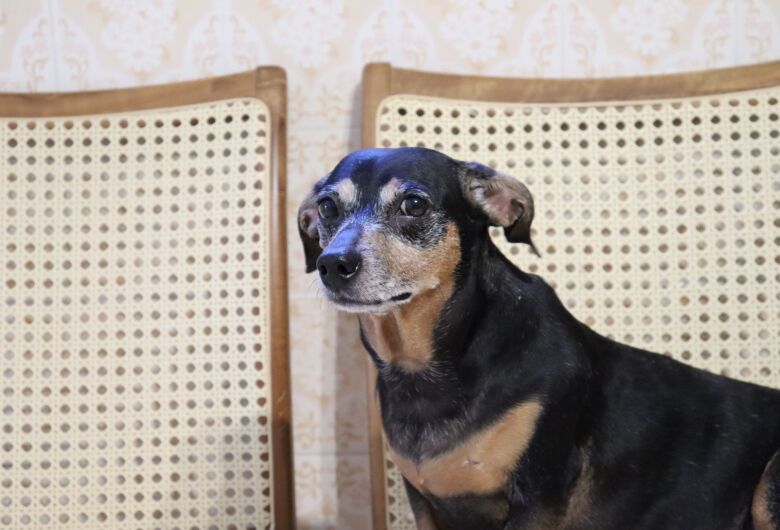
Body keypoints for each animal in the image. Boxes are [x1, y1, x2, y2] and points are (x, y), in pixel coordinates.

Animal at [296, 145, 776, 528]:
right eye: (327, 207)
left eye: (413, 204)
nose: (333, 264)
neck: (425, 368)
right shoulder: (425, 503)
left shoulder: (539, 494)